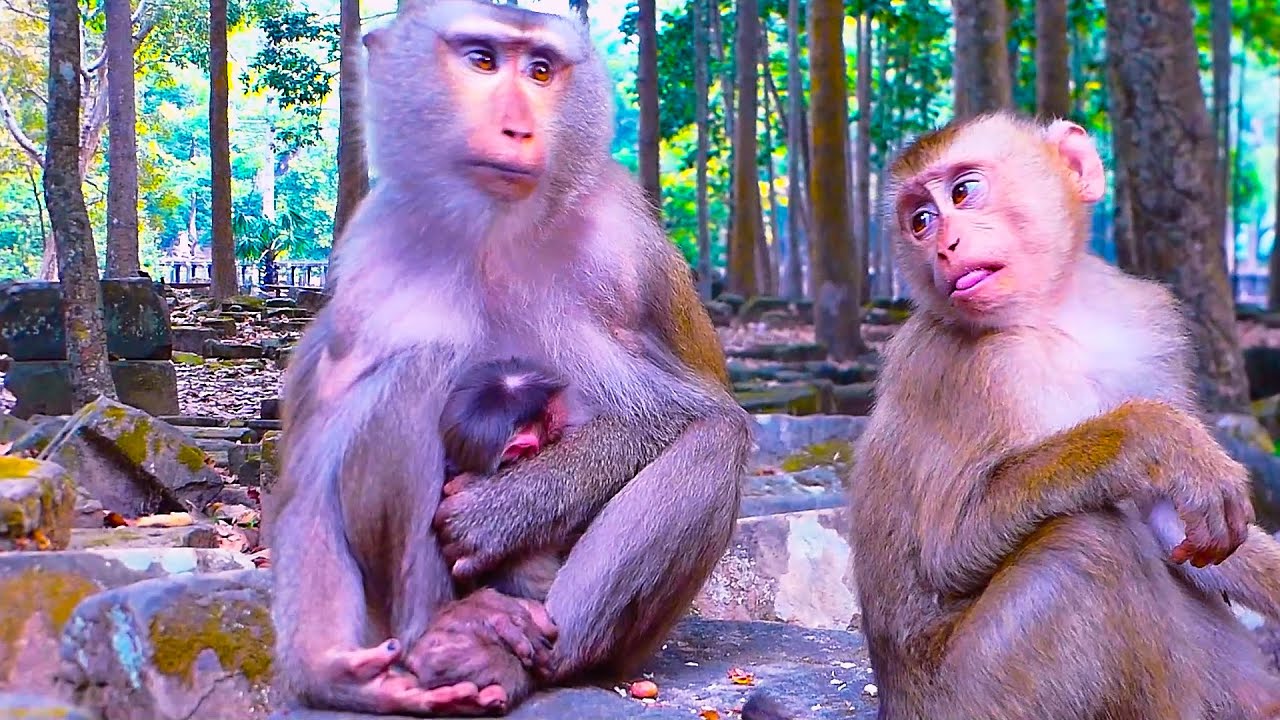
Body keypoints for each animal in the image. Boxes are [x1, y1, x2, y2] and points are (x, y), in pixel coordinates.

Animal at [261, 1, 752, 716]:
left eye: (541, 70)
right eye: (482, 60)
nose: (517, 127)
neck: (491, 230)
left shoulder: (619, 252)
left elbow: (683, 412)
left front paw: (497, 513)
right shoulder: (370, 258)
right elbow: (308, 463)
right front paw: (326, 672)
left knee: (715, 439)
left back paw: (520, 658)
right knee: (417, 368)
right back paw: (445, 630)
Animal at [847, 109, 1280, 720]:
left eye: (963, 192)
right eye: (921, 220)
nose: (944, 246)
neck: (1058, 317)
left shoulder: (1151, 330)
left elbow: (1180, 528)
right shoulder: (978, 371)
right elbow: (948, 547)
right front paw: (1154, 437)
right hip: (979, 694)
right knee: (1089, 546)